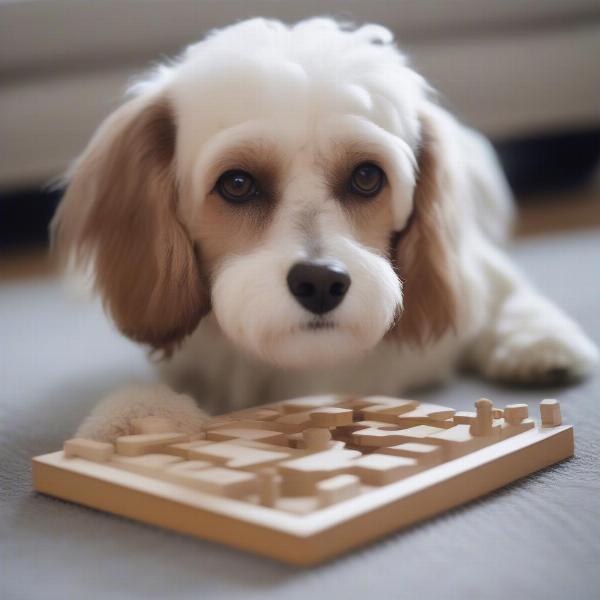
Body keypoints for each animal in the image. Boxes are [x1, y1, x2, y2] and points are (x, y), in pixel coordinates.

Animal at [54, 18, 596, 440]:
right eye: (237, 183)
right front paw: (136, 415)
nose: (320, 282)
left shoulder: (475, 274)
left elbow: (508, 294)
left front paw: (538, 339)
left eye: (367, 176)